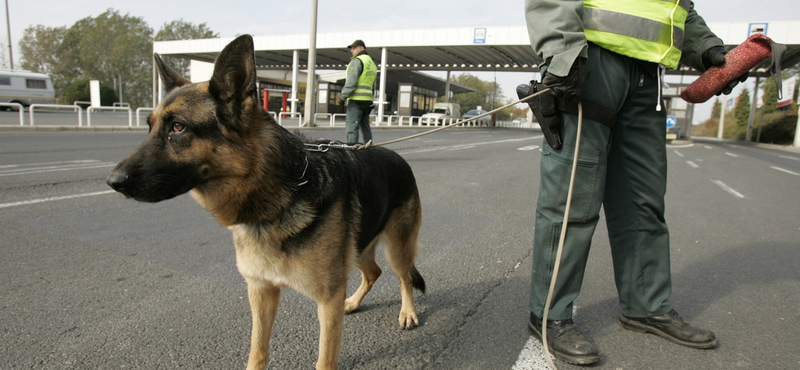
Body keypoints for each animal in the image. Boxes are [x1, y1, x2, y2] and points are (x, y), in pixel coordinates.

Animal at [109, 34, 428, 370]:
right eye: (150, 127)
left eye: (178, 127)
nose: (112, 181)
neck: (279, 194)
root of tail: (398, 157)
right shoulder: (261, 291)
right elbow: (257, 350)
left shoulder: (327, 300)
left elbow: (324, 360)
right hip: (358, 247)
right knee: (374, 272)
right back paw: (353, 301)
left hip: (396, 248)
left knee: (404, 277)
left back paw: (407, 312)